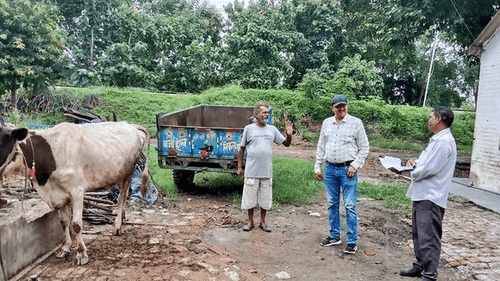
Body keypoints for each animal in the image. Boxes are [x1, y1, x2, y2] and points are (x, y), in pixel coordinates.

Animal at [0, 121, 148, 264]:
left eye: (1, 143)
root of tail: (130, 125)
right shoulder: (58, 195)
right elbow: (63, 222)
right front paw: (65, 248)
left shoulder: (77, 191)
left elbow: (76, 224)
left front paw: (81, 253)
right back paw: (122, 219)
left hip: (128, 173)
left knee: (122, 197)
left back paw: (117, 225)